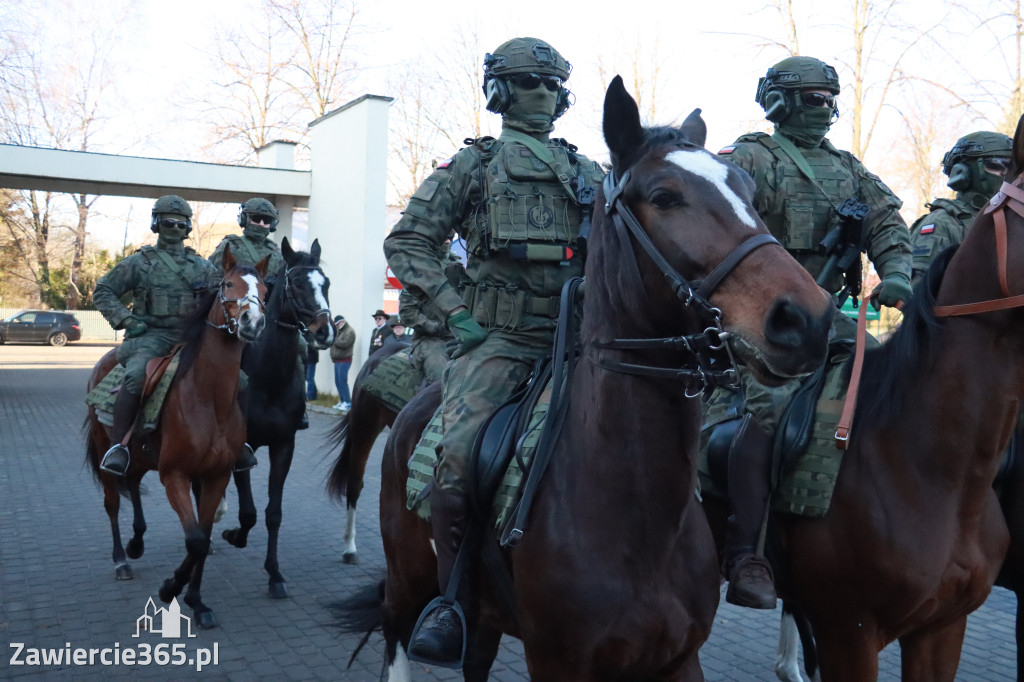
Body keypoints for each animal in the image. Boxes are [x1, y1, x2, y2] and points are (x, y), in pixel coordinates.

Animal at [84, 246, 268, 622]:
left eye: (266, 290)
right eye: (227, 284)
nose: (252, 323)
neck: (208, 397)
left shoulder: (216, 475)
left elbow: (204, 535)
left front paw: (197, 601)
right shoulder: (175, 475)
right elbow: (195, 540)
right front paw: (170, 588)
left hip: (141, 455)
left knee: (134, 483)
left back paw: (136, 542)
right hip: (105, 448)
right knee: (113, 502)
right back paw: (121, 559)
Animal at [220, 237, 331, 593]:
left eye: (326, 283)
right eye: (297, 283)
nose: (325, 332)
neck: (267, 377)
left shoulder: (284, 446)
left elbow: (273, 513)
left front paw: (275, 574)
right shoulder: (242, 449)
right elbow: (248, 513)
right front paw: (235, 535)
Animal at [372, 76, 835, 675]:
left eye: (750, 193)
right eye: (663, 196)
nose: (807, 319)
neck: (639, 519)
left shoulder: (680, 660)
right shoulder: (558, 662)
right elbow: (407, 239)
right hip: (406, 583)